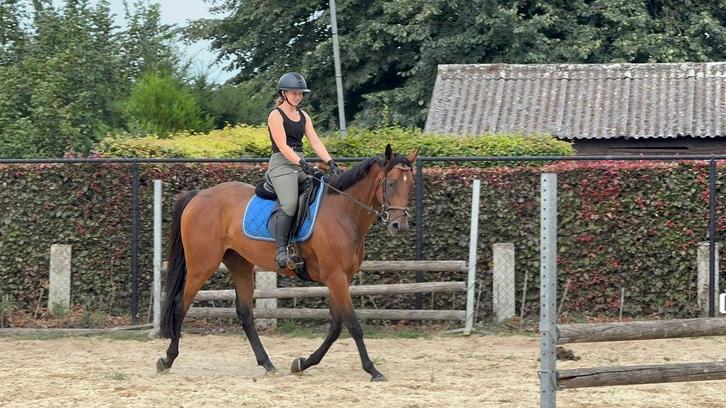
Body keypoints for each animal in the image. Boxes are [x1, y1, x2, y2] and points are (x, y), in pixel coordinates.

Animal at [157, 144, 418, 381]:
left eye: (410, 184)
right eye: (391, 183)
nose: (400, 226)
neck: (343, 212)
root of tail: (199, 195)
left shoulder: (340, 278)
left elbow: (335, 326)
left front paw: (303, 363)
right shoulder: (335, 278)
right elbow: (353, 325)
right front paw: (372, 370)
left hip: (240, 264)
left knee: (245, 313)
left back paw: (267, 364)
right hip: (202, 265)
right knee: (180, 305)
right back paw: (167, 359)